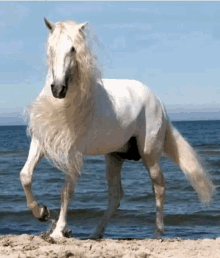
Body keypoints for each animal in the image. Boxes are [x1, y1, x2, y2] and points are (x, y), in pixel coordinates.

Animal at [19, 18, 214, 240]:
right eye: (51, 48)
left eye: (73, 49)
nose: (58, 89)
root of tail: (156, 100)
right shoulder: (40, 142)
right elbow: (25, 176)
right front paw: (42, 213)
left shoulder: (74, 153)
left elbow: (66, 190)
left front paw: (59, 231)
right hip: (115, 157)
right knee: (115, 196)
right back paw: (96, 233)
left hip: (149, 155)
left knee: (159, 187)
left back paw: (157, 233)